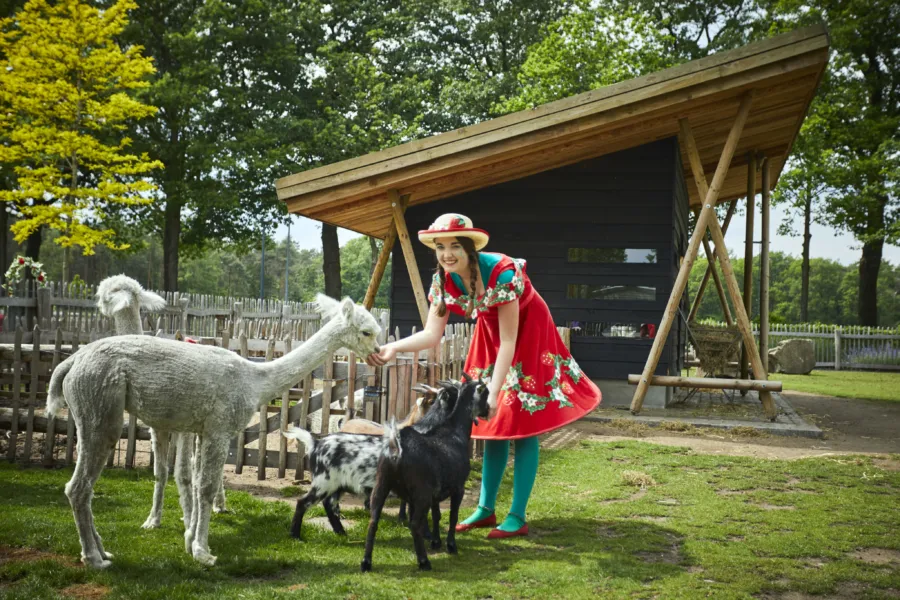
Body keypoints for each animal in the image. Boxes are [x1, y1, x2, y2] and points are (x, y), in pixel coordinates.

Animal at [360, 376, 492, 572]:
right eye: (486, 393)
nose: (488, 410)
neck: (454, 432)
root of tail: (397, 449)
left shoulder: (436, 493)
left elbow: (436, 515)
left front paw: (436, 541)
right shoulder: (458, 488)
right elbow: (452, 516)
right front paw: (450, 545)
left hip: (381, 485)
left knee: (373, 521)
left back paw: (366, 562)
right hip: (421, 493)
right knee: (414, 524)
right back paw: (423, 561)